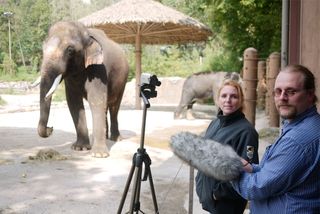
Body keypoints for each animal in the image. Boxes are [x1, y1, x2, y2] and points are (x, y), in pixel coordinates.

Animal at [37, 20, 128, 157]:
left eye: (70, 50)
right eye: (42, 48)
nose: (50, 129)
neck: (86, 32)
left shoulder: (99, 69)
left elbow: (96, 100)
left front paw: (99, 155)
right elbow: (74, 102)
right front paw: (80, 148)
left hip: (123, 80)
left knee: (114, 106)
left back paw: (116, 139)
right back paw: (107, 137)